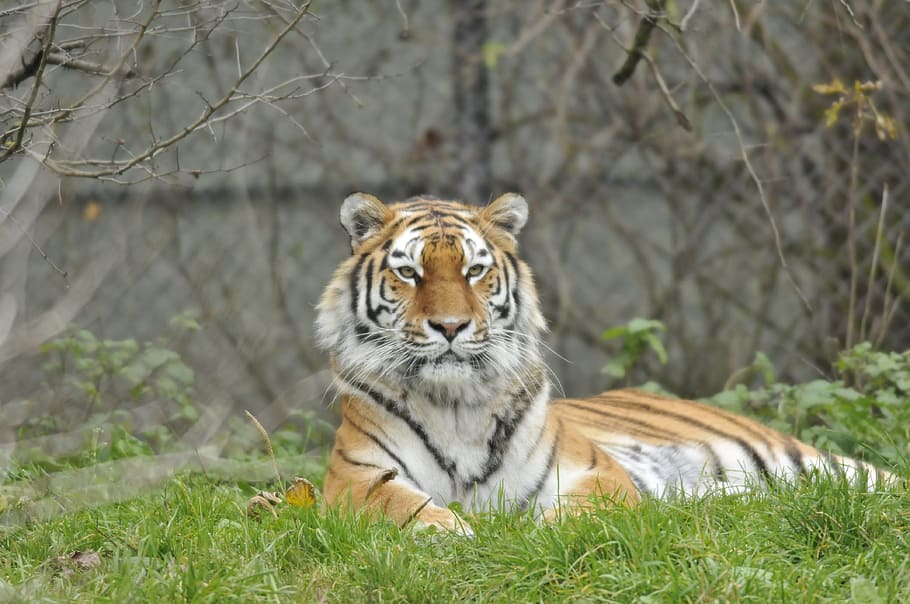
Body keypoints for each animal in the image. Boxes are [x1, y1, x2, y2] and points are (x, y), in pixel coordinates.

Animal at [315, 192, 897, 535]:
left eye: (474, 270)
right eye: (409, 273)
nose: (452, 326)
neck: (455, 405)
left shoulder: (591, 469)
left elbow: (584, 509)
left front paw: (540, 535)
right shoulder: (354, 477)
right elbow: (398, 505)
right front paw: (449, 533)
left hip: (812, 464)